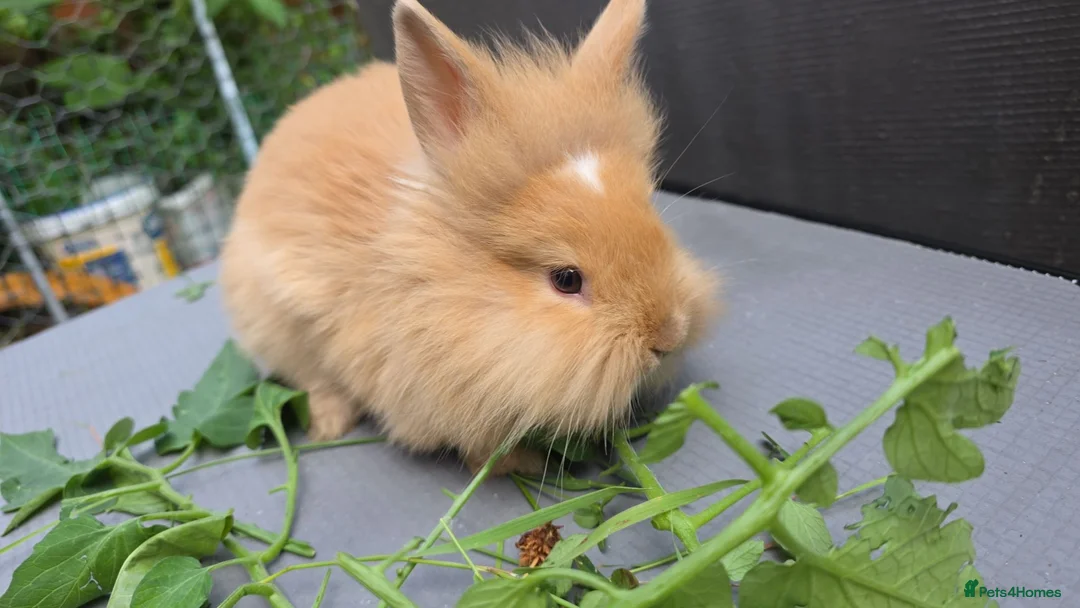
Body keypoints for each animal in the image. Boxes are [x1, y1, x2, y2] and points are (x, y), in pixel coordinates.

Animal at [218, 0, 721, 476]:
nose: (669, 337)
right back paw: (330, 427)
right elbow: (481, 447)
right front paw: (521, 464)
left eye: (655, 223)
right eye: (566, 279)